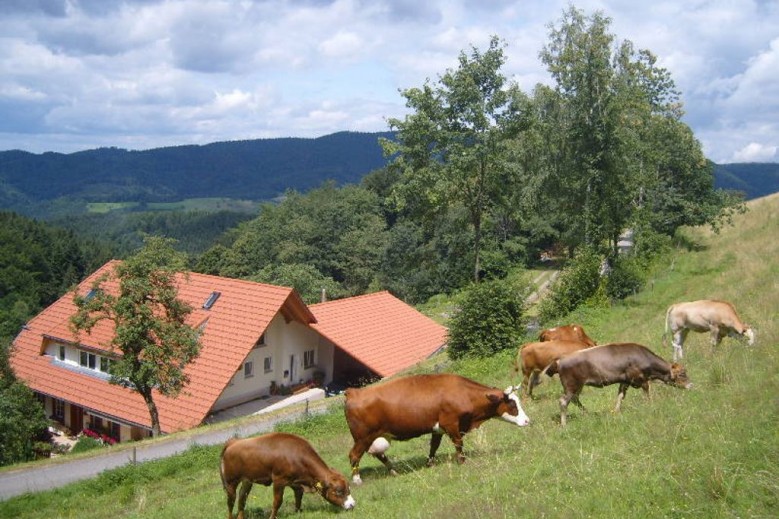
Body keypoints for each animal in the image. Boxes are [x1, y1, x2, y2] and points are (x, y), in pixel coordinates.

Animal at [218, 432, 354, 519]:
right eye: (339, 491)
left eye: (349, 488)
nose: (352, 505)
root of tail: (233, 442)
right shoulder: (279, 480)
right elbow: (277, 501)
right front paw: (272, 517)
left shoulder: (295, 482)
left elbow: (298, 496)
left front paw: (298, 511)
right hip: (231, 481)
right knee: (231, 501)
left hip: (247, 480)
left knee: (242, 499)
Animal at [346, 374, 532, 484]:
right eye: (512, 404)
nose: (527, 421)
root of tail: (354, 392)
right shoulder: (452, 424)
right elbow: (459, 443)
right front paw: (462, 461)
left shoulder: (438, 428)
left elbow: (433, 447)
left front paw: (430, 463)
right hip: (363, 437)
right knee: (354, 455)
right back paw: (357, 480)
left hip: (375, 436)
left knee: (379, 454)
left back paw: (393, 471)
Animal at [556, 346, 696, 426]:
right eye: (682, 374)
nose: (691, 385)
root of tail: (560, 360)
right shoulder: (639, 378)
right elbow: (647, 391)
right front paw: (651, 405)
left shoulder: (625, 381)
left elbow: (620, 395)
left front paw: (616, 411)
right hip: (571, 385)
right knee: (563, 401)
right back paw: (564, 424)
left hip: (578, 386)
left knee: (575, 399)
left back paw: (587, 413)